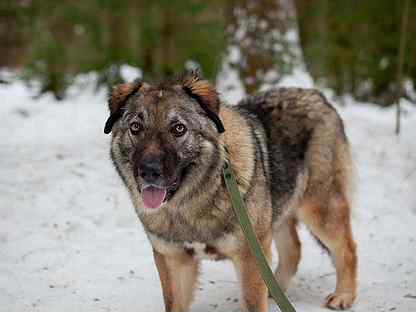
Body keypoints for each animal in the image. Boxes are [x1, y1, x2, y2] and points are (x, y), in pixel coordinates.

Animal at [104, 72, 358, 310]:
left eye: (178, 129)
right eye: (135, 127)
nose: (148, 171)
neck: (189, 206)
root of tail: (317, 95)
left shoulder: (250, 258)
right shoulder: (173, 260)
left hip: (319, 211)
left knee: (347, 248)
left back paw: (343, 296)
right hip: (277, 214)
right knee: (294, 250)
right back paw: (275, 290)